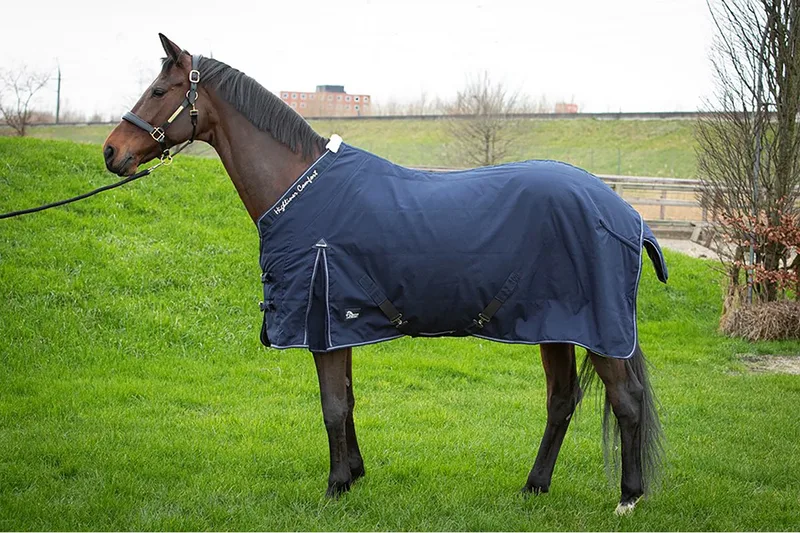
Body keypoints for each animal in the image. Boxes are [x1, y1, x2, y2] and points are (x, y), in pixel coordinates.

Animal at [102, 34, 666, 515]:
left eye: (158, 91)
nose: (112, 151)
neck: (301, 187)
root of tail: (623, 212)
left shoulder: (322, 320)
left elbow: (332, 404)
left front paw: (334, 487)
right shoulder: (337, 324)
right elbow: (348, 400)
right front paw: (354, 474)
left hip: (600, 331)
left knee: (626, 402)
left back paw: (628, 498)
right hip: (555, 328)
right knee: (562, 401)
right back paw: (535, 486)